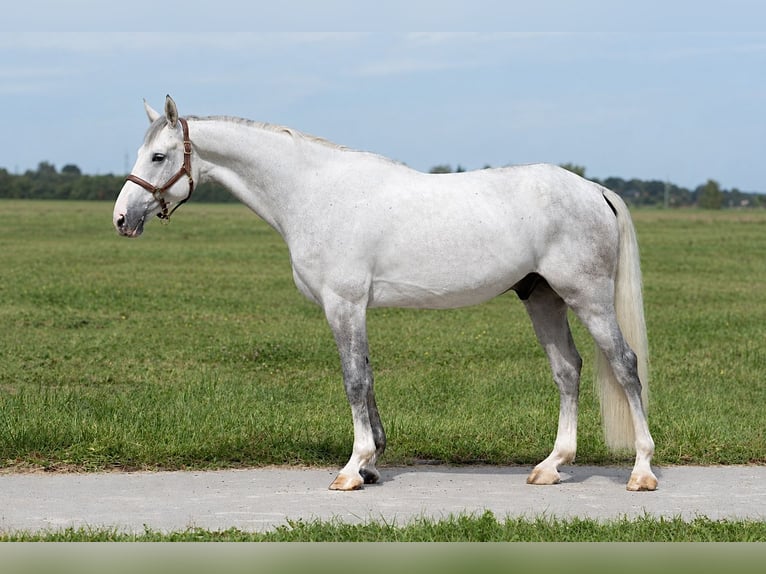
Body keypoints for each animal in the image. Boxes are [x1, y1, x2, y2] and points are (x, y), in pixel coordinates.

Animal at [113, 95, 658, 492]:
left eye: (159, 156)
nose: (121, 218)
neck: (315, 193)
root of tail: (594, 190)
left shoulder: (344, 304)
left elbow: (354, 381)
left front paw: (352, 470)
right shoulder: (354, 309)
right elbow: (368, 378)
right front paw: (372, 463)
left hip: (587, 298)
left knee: (625, 365)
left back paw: (641, 472)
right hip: (543, 298)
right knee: (567, 370)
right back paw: (551, 466)